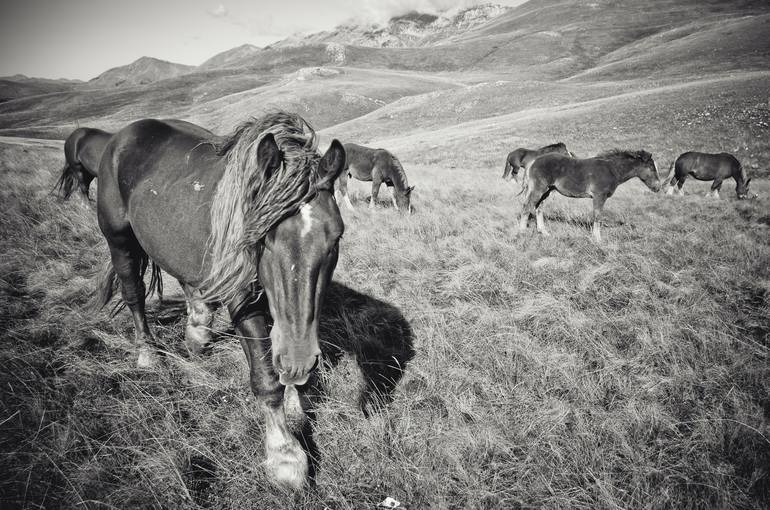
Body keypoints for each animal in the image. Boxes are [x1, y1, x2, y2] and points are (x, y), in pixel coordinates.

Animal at [95, 112, 344, 490]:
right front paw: (285, 456)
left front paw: (295, 404)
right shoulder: (244, 300)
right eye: (264, 239)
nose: (301, 361)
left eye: (336, 237)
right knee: (134, 294)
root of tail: (122, 136)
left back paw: (197, 333)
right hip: (120, 240)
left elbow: (280, 349)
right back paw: (147, 353)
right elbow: (266, 377)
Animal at [520, 149, 664, 241]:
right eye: (651, 168)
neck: (611, 169)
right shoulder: (599, 196)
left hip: (547, 191)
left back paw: (544, 232)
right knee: (526, 207)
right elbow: (597, 216)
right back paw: (521, 233)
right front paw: (598, 239)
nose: (658, 187)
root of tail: (533, 161)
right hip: (539, 189)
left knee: (539, 208)